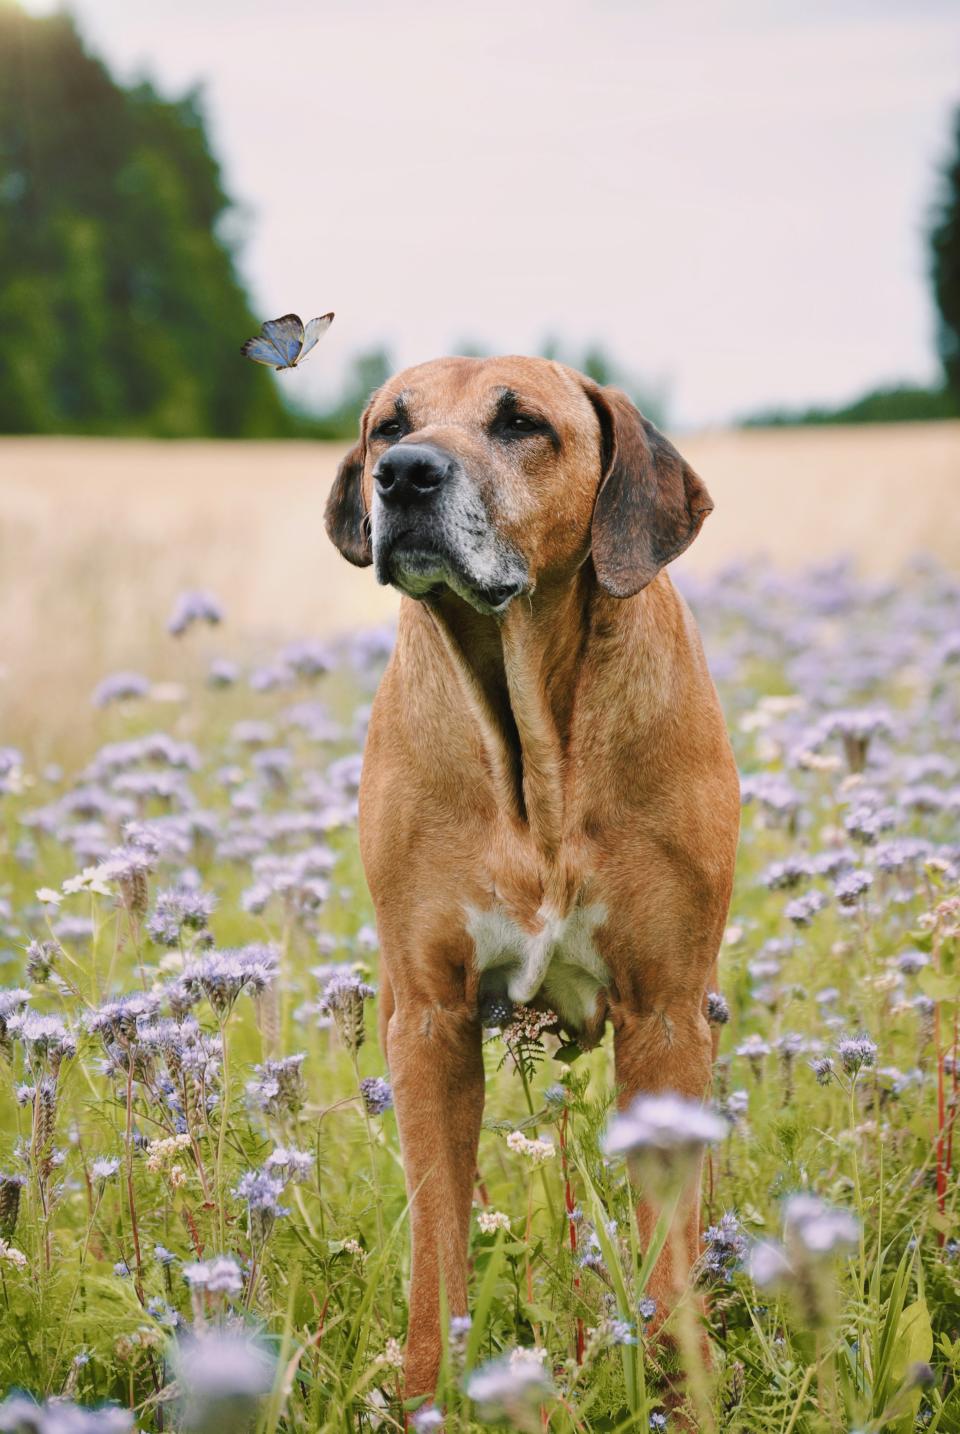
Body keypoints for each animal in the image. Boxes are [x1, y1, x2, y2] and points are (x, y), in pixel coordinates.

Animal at [325, 355, 740, 1399]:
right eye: (390, 425)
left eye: (522, 424)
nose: (405, 477)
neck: (532, 746)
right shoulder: (430, 1019)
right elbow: (437, 1242)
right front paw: (431, 1396)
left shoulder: (665, 1013)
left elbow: (668, 1252)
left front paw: (682, 1391)